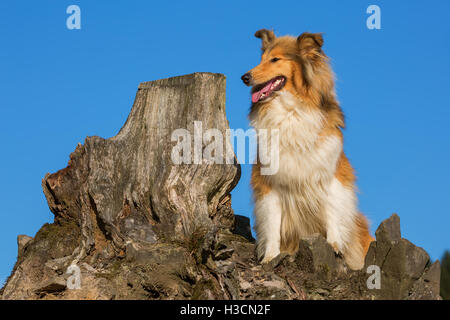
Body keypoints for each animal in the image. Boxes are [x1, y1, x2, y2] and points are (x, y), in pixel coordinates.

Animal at [241, 30, 374, 270]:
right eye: (261, 59)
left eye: (275, 59)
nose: (244, 78)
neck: (291, 110)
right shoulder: (269, 183)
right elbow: (272, 224)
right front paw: (270, 257)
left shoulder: (332, 175)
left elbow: (333, 211)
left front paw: (334, 245)